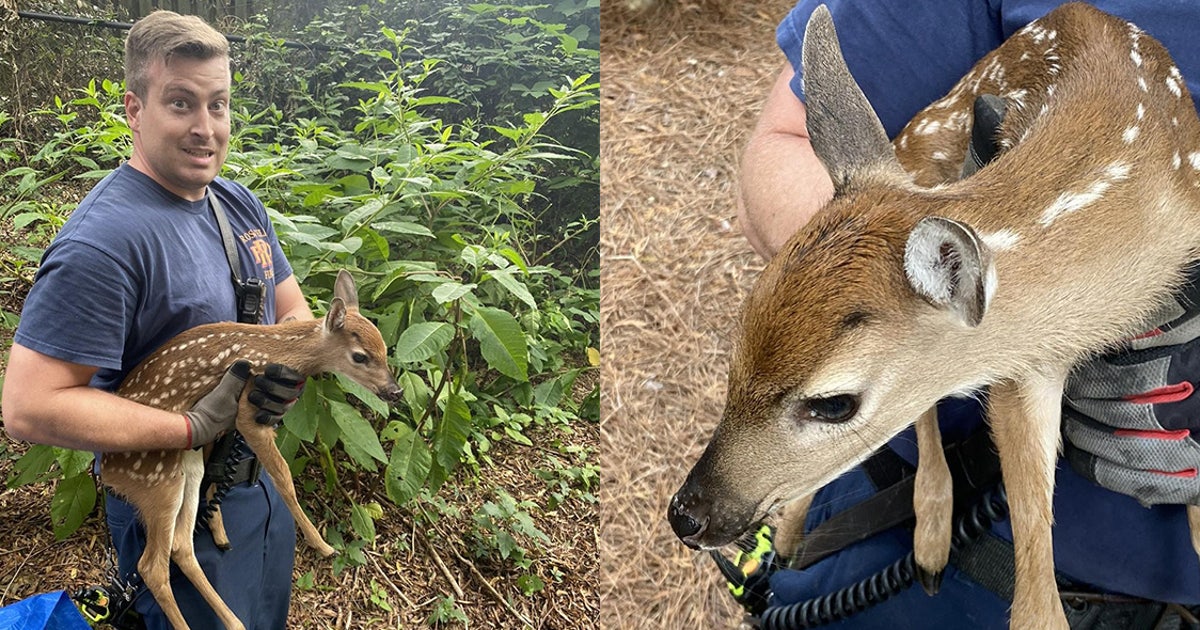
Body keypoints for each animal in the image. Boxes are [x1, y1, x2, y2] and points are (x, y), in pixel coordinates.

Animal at [100, 269, 401, 630]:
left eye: (383, 348)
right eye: (360, 356)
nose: (395, 391)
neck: (281, 353)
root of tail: (108, 474)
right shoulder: (248, 408)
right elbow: (284, 477)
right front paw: (323, 545)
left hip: (186, 467)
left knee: (181, 546)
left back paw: (234, 616)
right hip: (156, 480)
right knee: (151, 566)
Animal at [666, 3, 1200, 628]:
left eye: (833, 403)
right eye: (740, 333)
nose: (686, 515)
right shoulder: (1021, 371)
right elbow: (1036, 597)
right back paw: (910, 542)